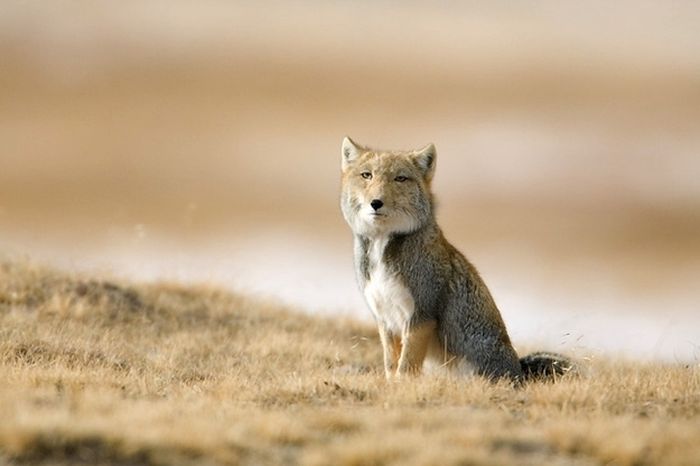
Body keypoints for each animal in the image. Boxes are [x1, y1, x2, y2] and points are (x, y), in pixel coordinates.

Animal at [340, 136, 576, 382]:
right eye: (367, 175)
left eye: (400, 178)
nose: (376, 202)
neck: (382, 246)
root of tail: (519, 372)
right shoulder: (385, 320)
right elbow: (390, 365)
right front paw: (391, 384)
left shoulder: (421, 315)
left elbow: (406, 366)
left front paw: (401, 385)